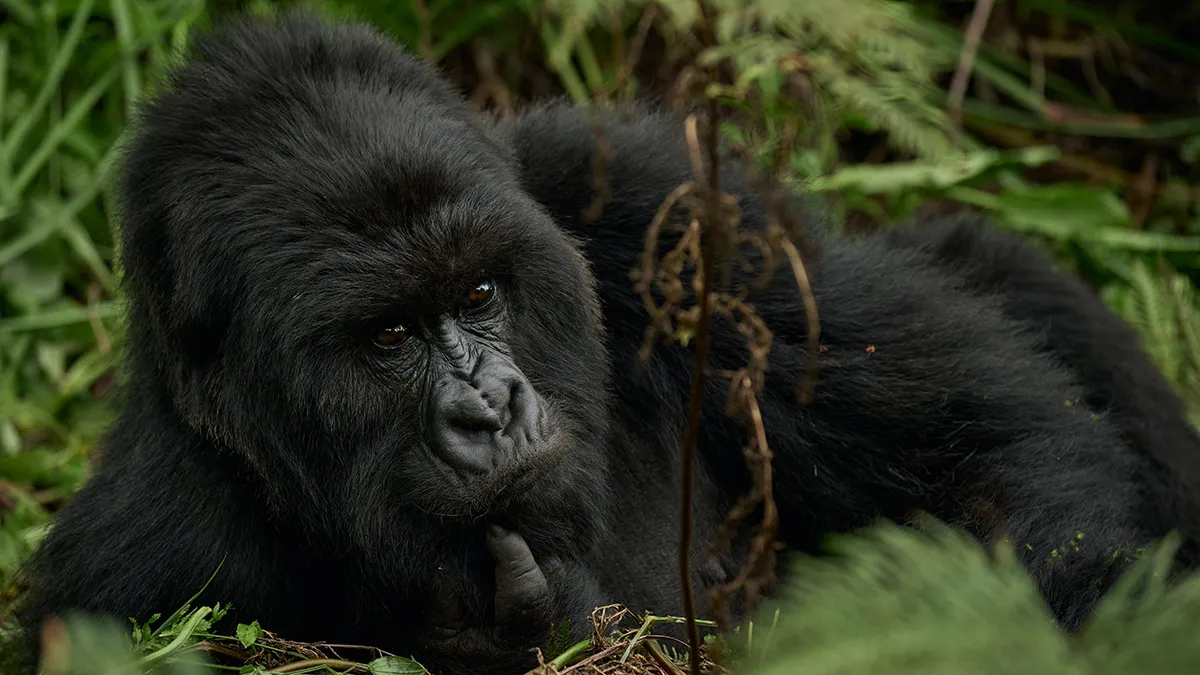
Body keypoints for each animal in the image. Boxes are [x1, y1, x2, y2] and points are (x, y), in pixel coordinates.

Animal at [16, 9, 1200, 672]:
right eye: (389, 336)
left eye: (482, 292)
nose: (492, 407)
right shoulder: (133, 574)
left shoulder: (653, 199)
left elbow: (994, 445)